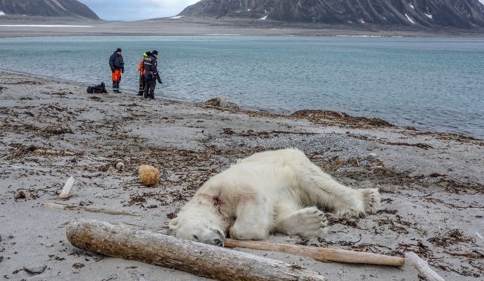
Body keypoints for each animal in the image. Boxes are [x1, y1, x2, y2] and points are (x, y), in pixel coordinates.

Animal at [168, 148, 380, 246]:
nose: (217, 242)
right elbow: (278, 213)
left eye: (195, 235)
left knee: (316, 182)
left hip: (292, 162)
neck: (211, 200)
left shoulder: (228, 185)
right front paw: (313, 222)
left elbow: (250, 201)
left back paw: (363, 201)